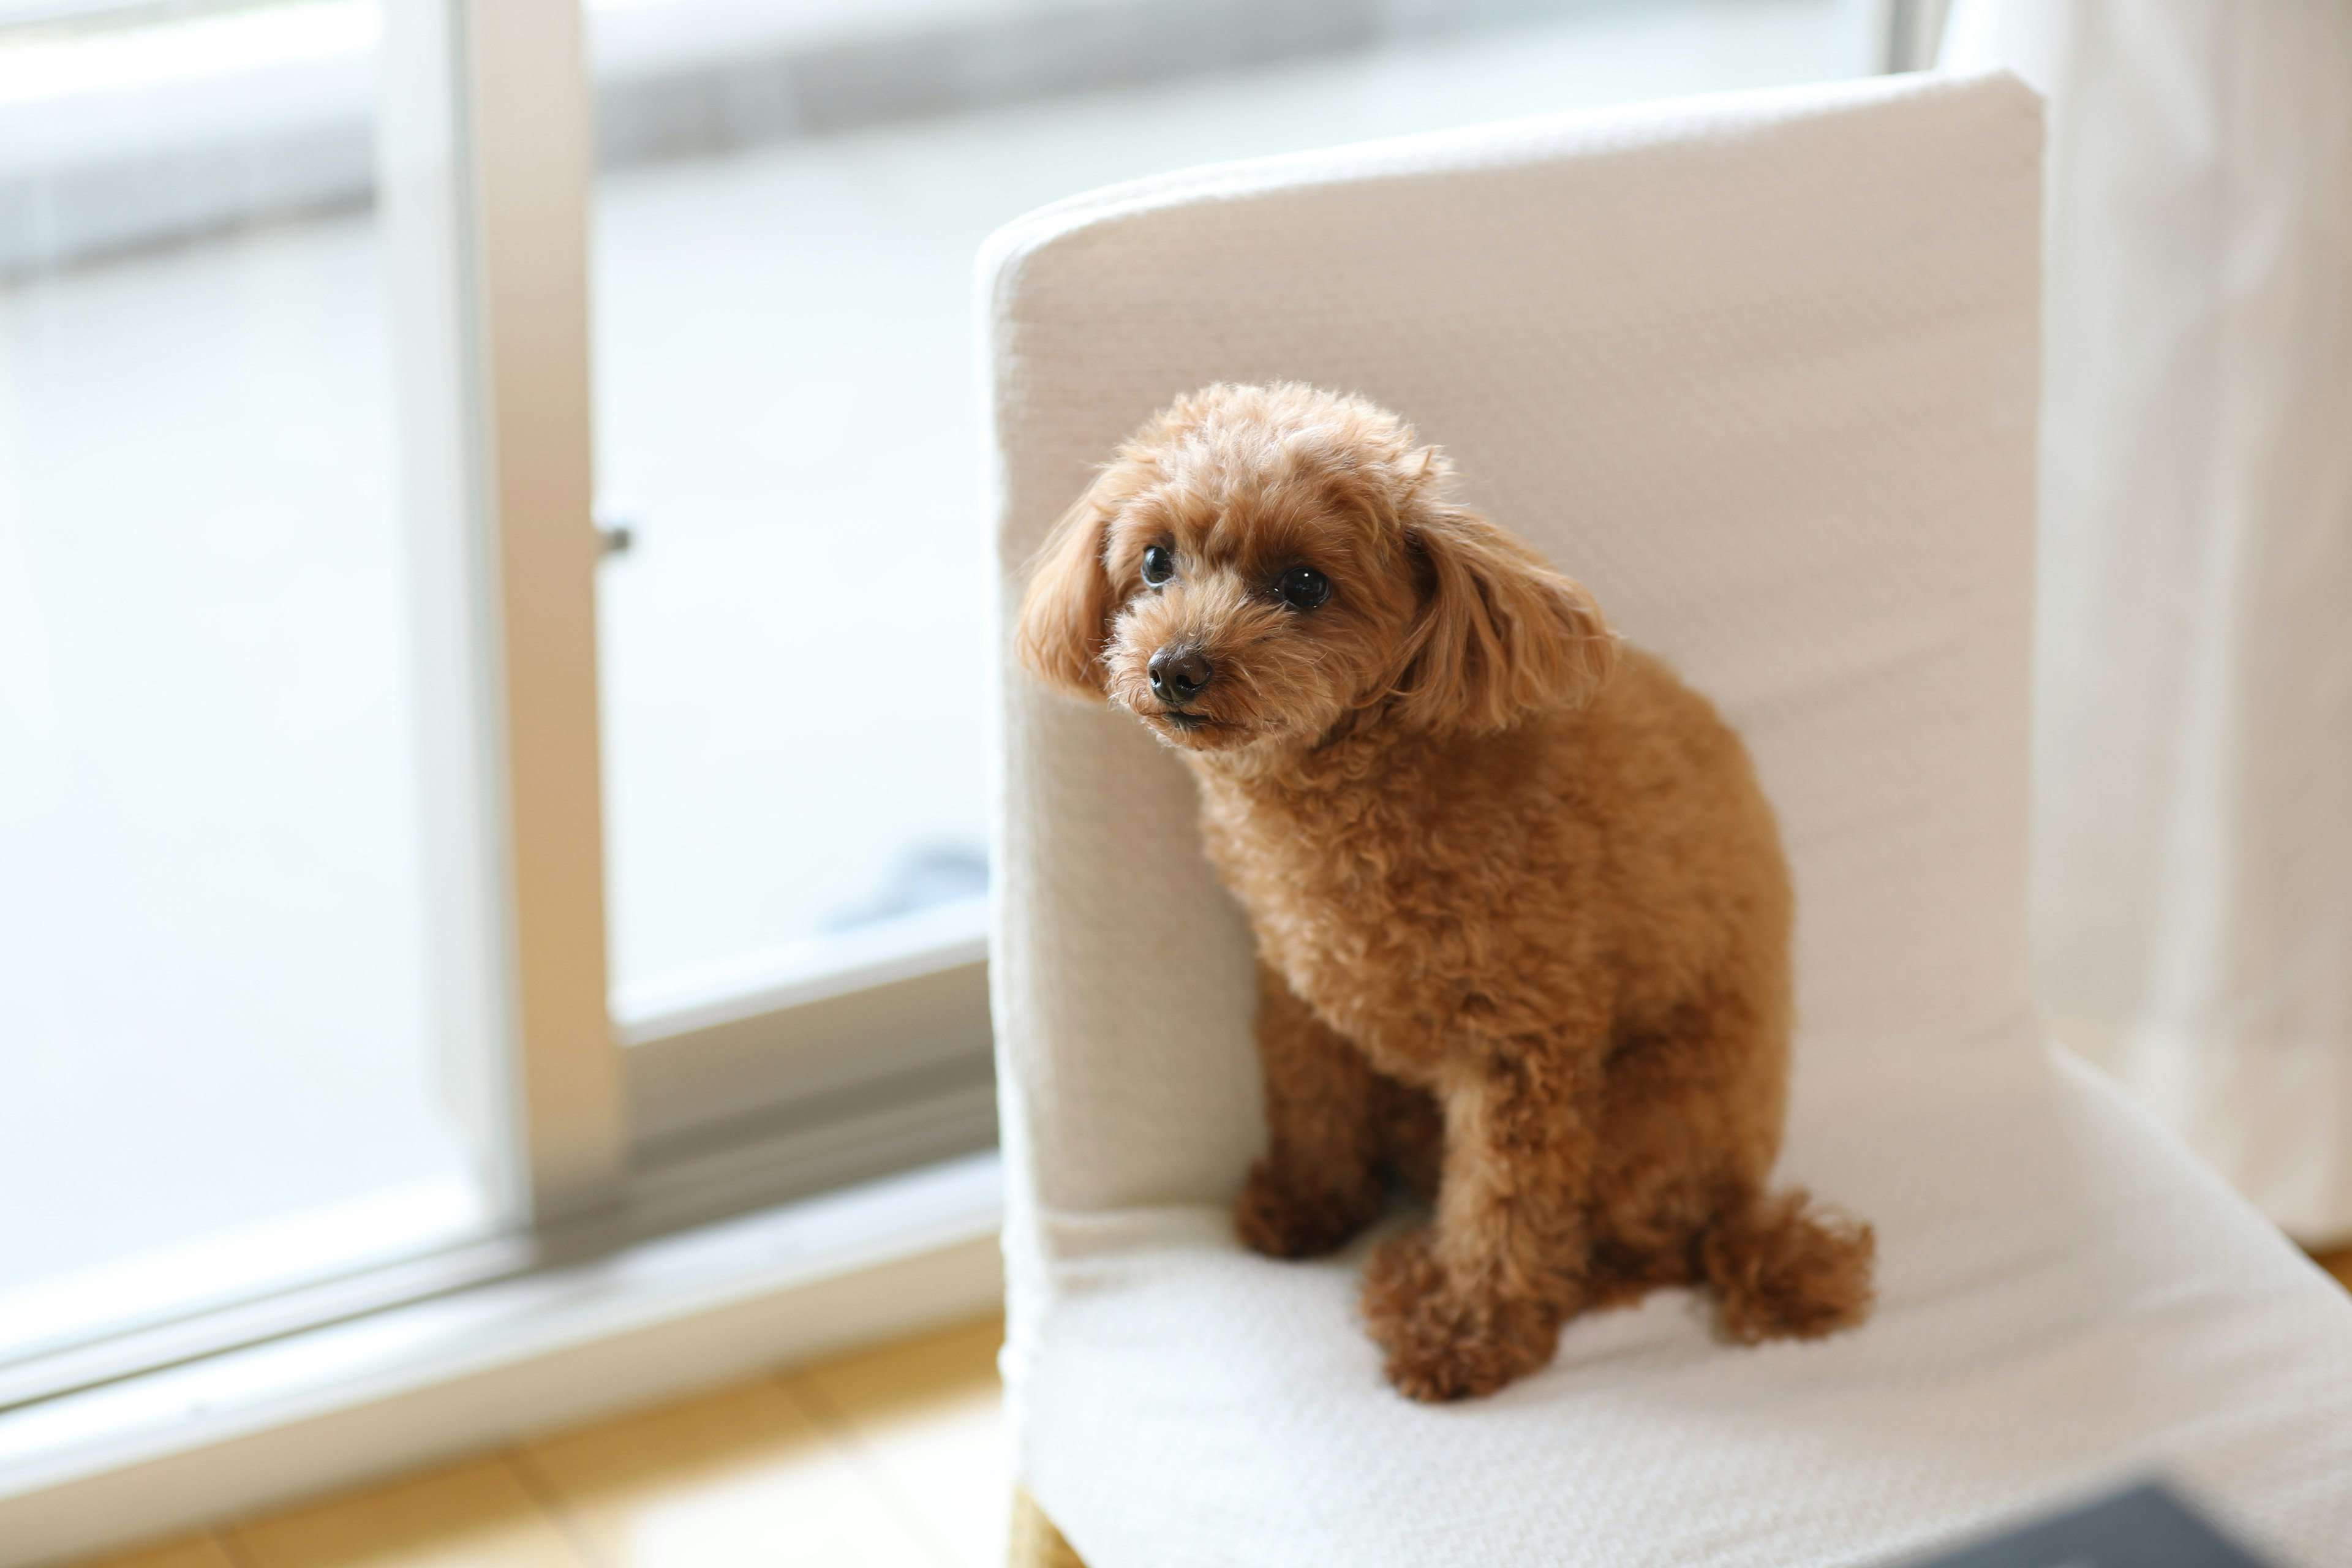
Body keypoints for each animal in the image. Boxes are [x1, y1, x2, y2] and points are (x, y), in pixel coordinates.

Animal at [1011, 385, 1872, 1401]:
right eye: (1154, 560)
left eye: (1306, 584)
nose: (1176, 667)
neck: (1358, 790)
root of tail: (1742, 1204)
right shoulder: (1297, 989)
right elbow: (1311, 1102)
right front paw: (1308, 1206)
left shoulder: (1524, 1043)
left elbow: (1504, 1203)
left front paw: (1465, 1332)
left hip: (1644, 1122)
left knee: (1635, 1252)